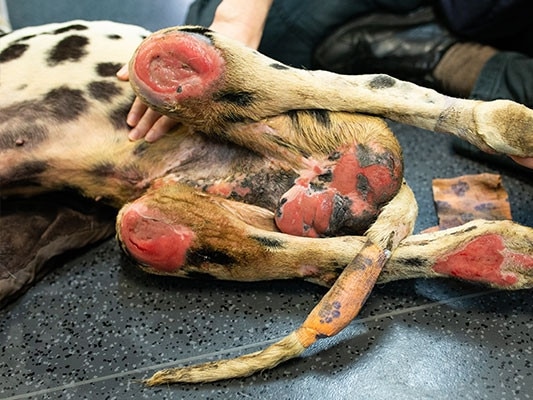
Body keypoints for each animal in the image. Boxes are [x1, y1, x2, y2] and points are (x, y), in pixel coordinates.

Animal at [1, 19, 532, 384]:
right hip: (156, 218)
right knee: (324, 254)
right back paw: (490, 253)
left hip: (191, 64)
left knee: (360, 84)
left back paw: (504, 128)